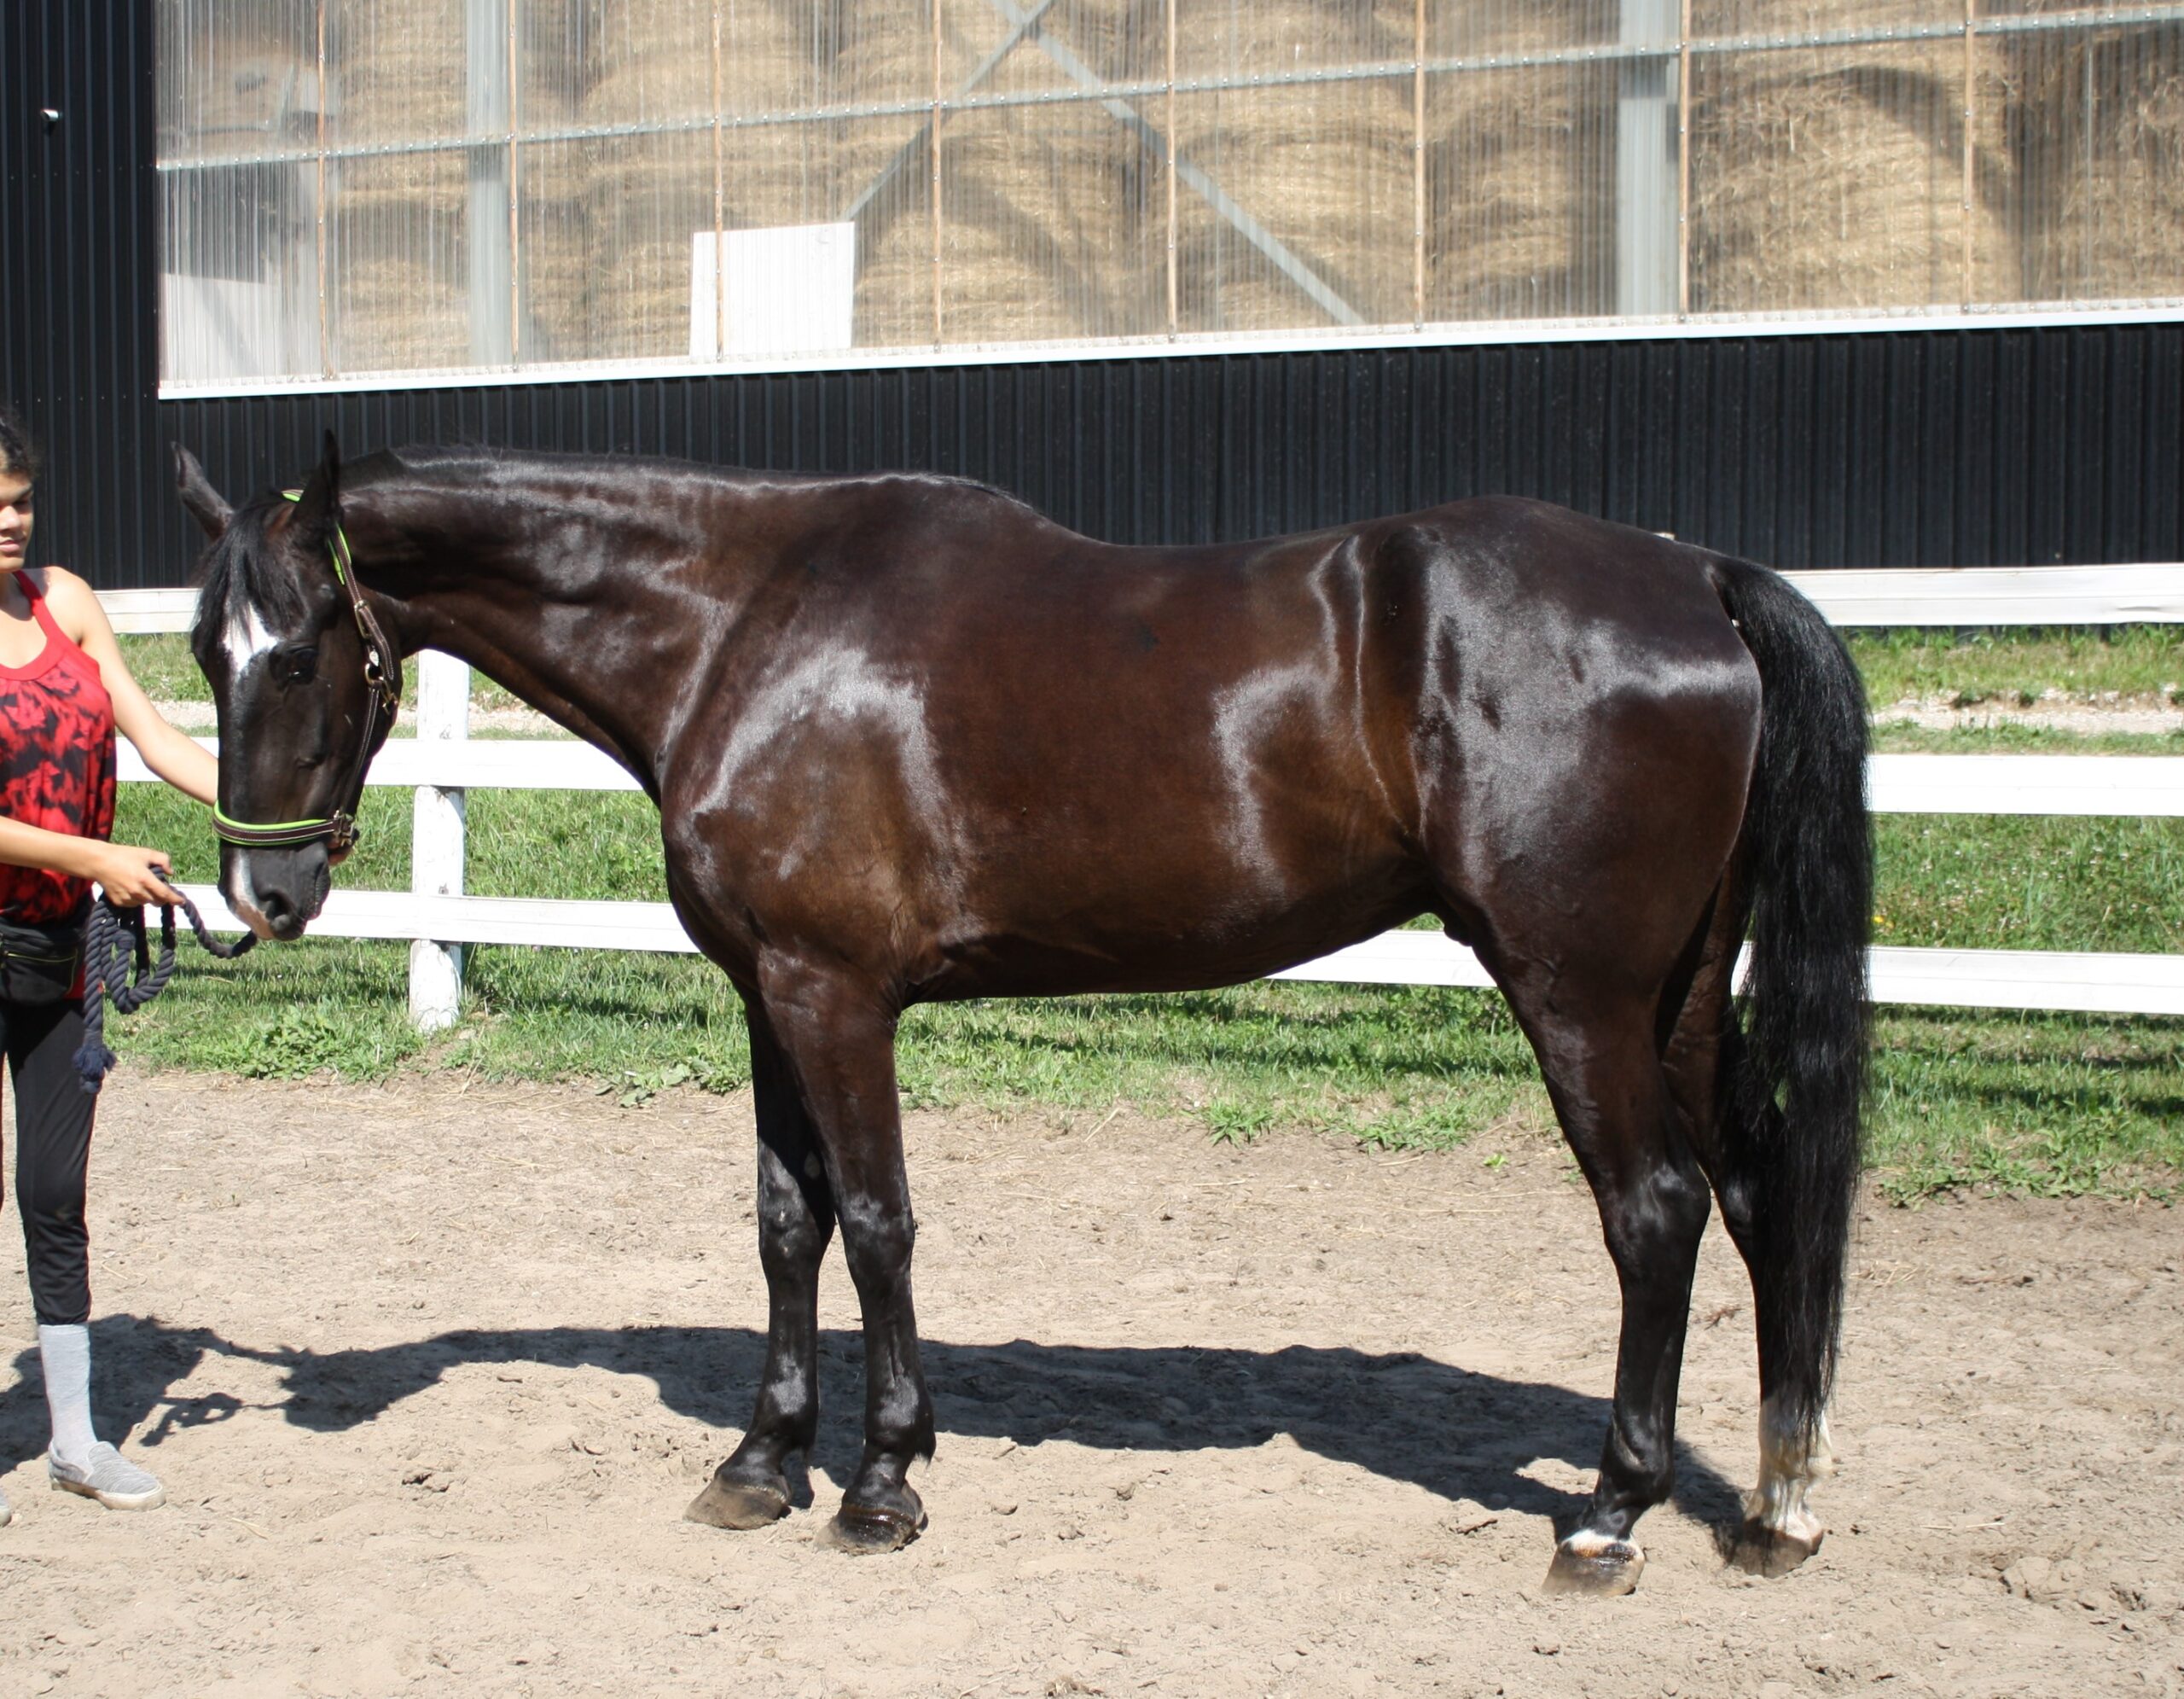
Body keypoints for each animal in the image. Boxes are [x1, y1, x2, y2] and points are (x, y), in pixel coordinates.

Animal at [172, 434, 1868, 1595]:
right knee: (1757, 1194)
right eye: (202, 648)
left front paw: (882, 1479)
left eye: (304, 646)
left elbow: (874, 1221)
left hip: (1577, 996)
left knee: (1655, 1212)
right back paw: (1775, 1505)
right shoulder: (766, 992)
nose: (262, 893)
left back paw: (1608, 1514)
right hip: (1678, 1005)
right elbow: (785, 1224)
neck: (741, 622)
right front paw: (761, 1461)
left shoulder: (835, 993)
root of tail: (1697, 579)